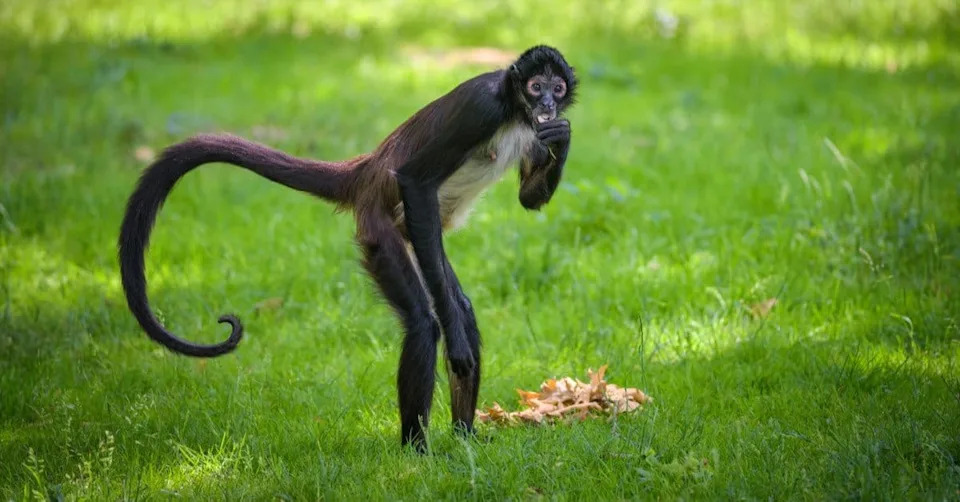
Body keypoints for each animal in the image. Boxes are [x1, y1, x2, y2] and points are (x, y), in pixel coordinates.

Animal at [118, 45, 577, 451]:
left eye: (557, 88)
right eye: (536, 86)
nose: (548, 104)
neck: (515, 111)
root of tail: (368, 170)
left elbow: (528, 200)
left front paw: (562, 136)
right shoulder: (481, 108)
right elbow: (415, 180)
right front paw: (457, 346)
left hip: (415, 233)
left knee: (459, 306)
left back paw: (465, 438)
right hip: (382, 227)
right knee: (423, 322)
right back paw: (416, 452)